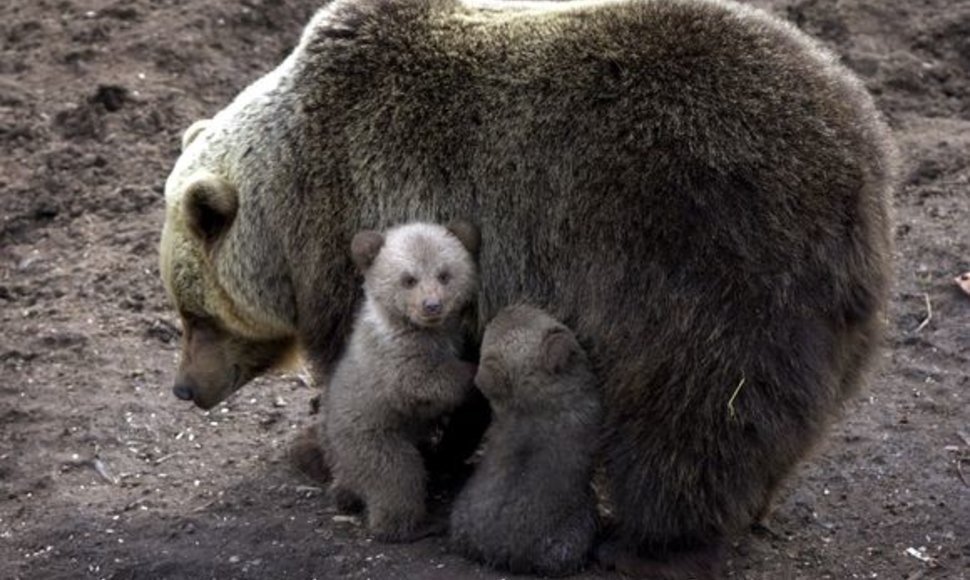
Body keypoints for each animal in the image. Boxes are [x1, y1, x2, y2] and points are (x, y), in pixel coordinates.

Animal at [157, 0, 892, 572]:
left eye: (194, 314)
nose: (186, 388)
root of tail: (858, 144)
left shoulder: (356, 217)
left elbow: (371, 369)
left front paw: (322, 454)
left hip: (700, 258)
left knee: (697, 406)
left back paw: (653, 544)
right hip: (834, 302)